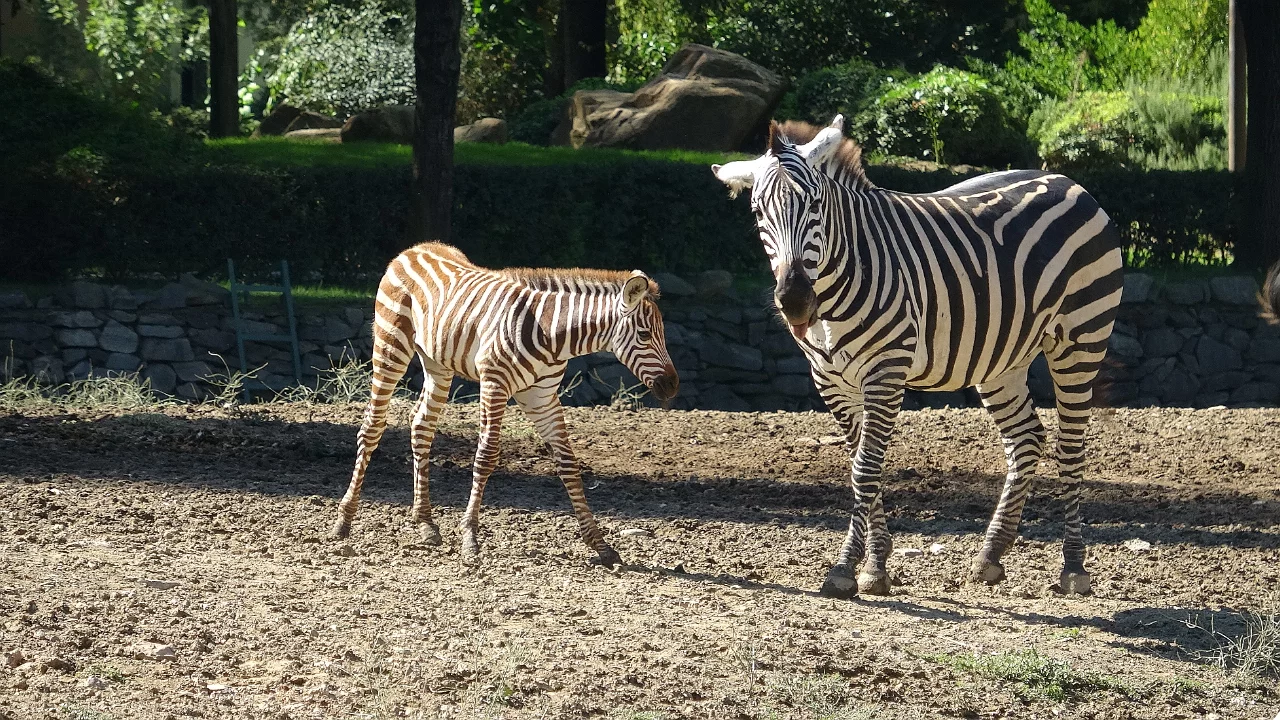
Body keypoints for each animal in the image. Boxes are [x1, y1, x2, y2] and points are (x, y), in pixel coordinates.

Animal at [330, 242, 679, 567]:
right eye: (645, 335)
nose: (673, 386)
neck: (552, 334)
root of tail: (415, 249)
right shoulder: (495, 384)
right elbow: (486, 457)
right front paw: (470, 539)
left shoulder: (542, 397)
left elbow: (568, 464)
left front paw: (600, 545)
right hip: (390, 346)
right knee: (371, 427)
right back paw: (344, 521)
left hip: (436, 362)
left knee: (421, 427)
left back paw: (426, 523)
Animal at [712, 116, 1123, 598]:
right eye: (759, 213)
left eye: (815, 205)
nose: (795, 301)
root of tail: (1067, 180)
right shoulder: (830, 381)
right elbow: (859, 466)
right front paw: (876, 564)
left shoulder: (886, 372)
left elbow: (865, 470)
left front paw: (846, 568)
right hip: (1002, 358)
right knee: (1026, 439)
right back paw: (990, 555)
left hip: (1081, 337)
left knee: (1070, 447)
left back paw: (1074, 567)